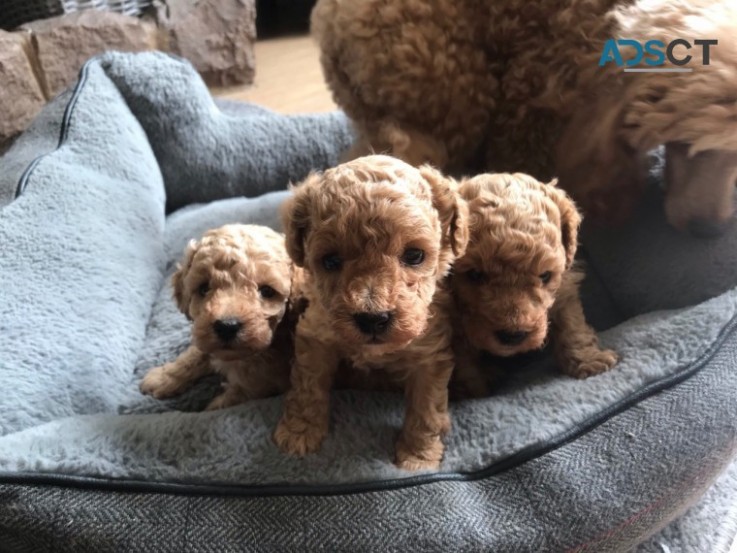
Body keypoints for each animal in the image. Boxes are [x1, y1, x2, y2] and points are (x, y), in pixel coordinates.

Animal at [141, 224, 296, 410]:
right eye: (203, 288)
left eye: (267, 291)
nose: (227, 326)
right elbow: (195, 354)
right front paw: (163, 377)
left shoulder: (261, 387)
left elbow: (223, 404)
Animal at [270, 155, 466, 470]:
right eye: (331, 260)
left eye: (414, 255)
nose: (373, 319)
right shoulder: (317, 335)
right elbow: (307, 388)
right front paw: (299, 432)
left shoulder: (430, 354)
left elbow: (426, 409)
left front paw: (417, 457)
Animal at [452, 175, 620, 394]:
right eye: (474, 274)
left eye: (545, 276)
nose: (513, 336)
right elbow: (461, 353)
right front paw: (472, 388)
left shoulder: (565, 288)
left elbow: (571, 323)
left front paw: (589, 361)